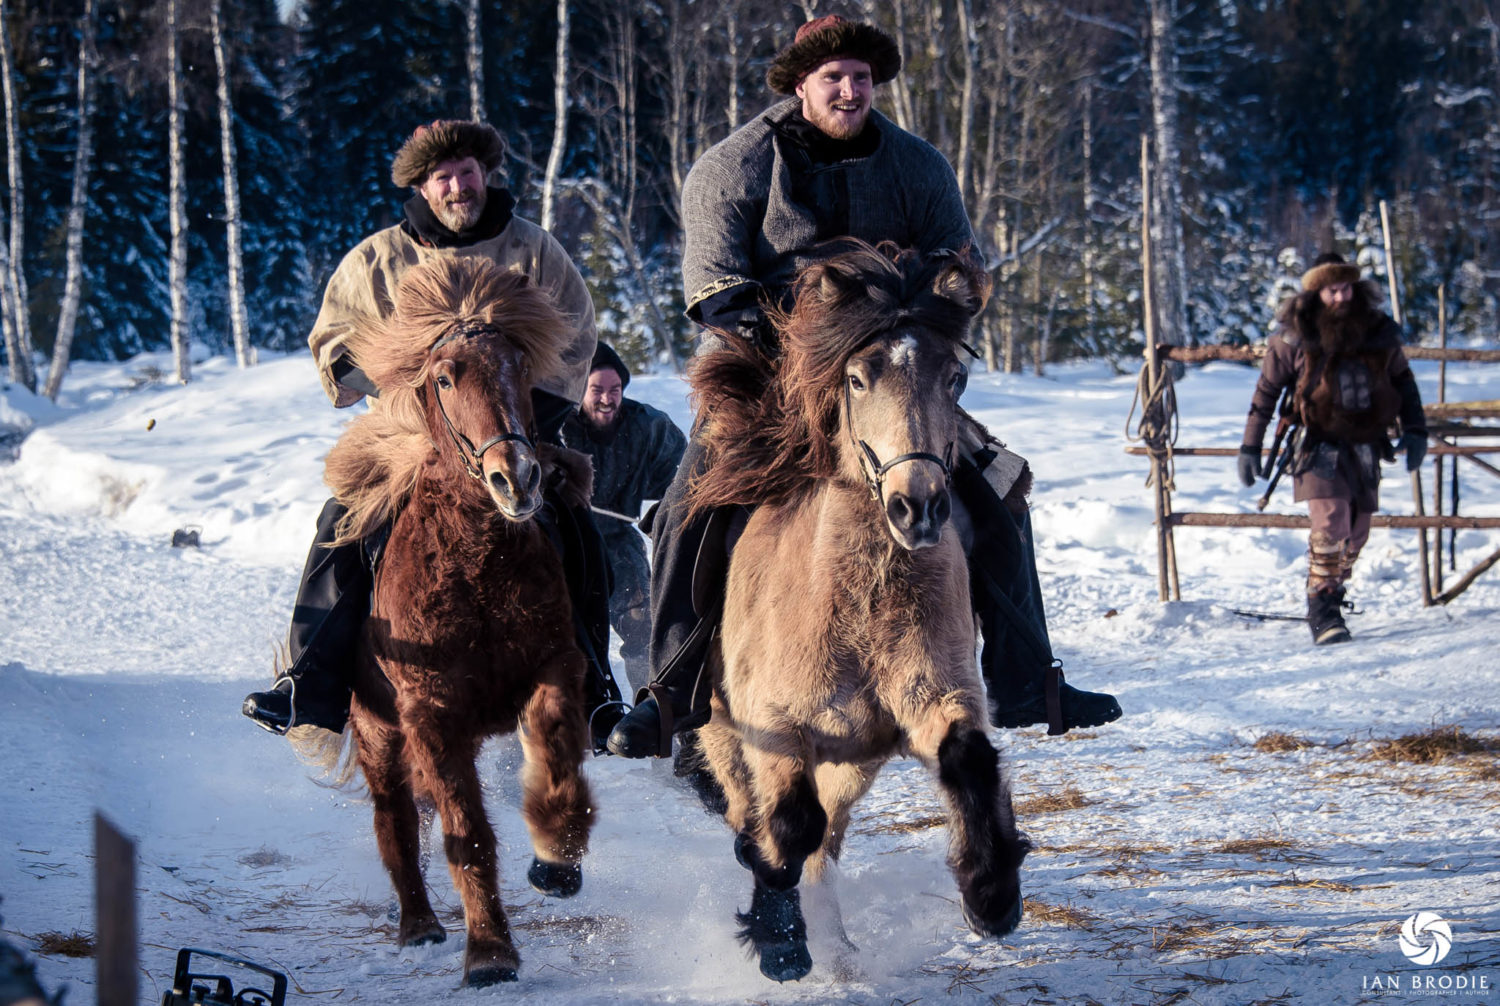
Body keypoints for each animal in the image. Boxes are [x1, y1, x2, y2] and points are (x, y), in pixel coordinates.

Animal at [322, 256, 597, 989]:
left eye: (519, 368)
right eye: (444, 377)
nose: (518, 479)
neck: (476, 565)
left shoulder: (556, 666)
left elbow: (556, 749)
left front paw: (556, 851)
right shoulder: (430, 712)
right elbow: (464, 832)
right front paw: (490, 953)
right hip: (376, 732)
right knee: (395, 823)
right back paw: (418, 925)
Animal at [687, 239, 1032, 977]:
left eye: (955, 379)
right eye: (856, 379)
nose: (917, 506)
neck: (859, 609)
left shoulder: (938, 694)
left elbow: (968, 758)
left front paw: (991, 893)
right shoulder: (772, 726)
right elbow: (787, 823)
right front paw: (778, 939)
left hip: (853, 762)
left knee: (828, 840)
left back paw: (838, 942)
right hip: (725, 739)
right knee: (758, 818)